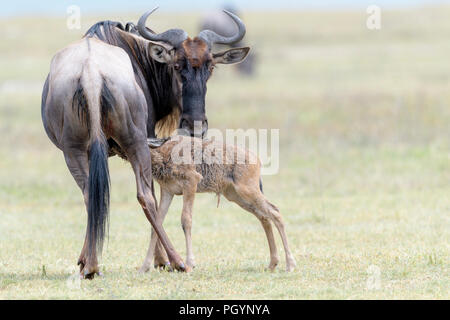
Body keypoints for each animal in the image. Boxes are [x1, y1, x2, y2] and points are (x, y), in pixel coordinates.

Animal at [139, 135, 298, 272]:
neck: (163, 152)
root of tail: (256, 159)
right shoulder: (168, 192)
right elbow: (157, 225)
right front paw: (144, 267)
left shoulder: (191, 183)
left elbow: (186, 220)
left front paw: (189, 264)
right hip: (236, 196)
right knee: (264, 217)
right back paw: (273, 264)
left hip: (248, 191)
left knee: (275, 212)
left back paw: (290, 265)